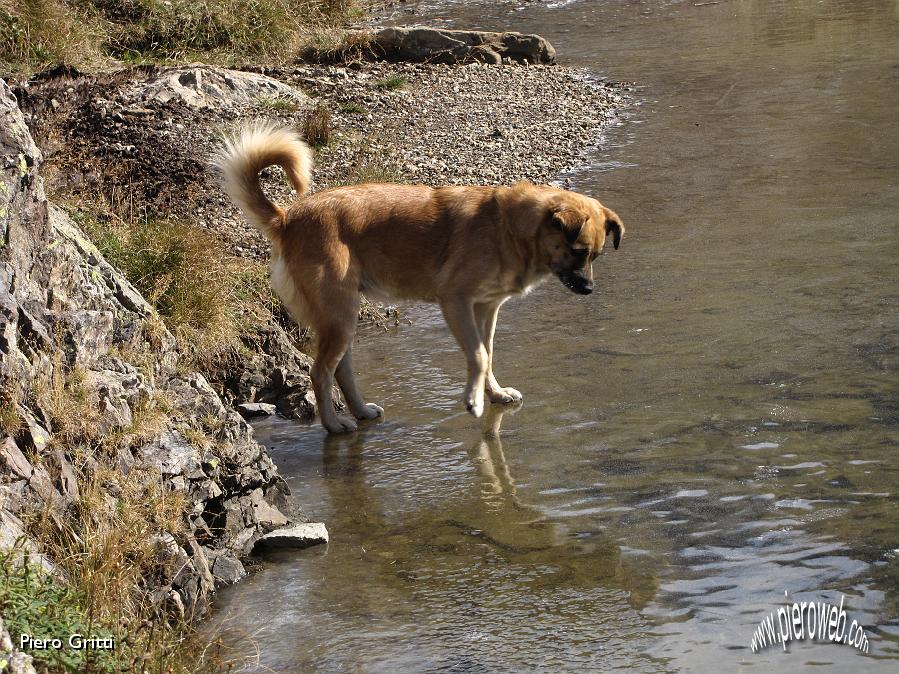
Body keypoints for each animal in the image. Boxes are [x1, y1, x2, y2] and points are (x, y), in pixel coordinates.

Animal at [214, 123, 624, 434]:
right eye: (578, 251)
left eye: (596, 255)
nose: (590, 289)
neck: (509, 228)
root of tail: (287, 219)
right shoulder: (455, 302)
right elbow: (478, 355)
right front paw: (474, 402)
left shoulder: (486, 308)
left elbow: (488, 353)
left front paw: (493, 395)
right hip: (339, 315)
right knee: (320, 372)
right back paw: (334, 424)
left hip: (342, 318)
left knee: (341, 370)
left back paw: (360, 411)